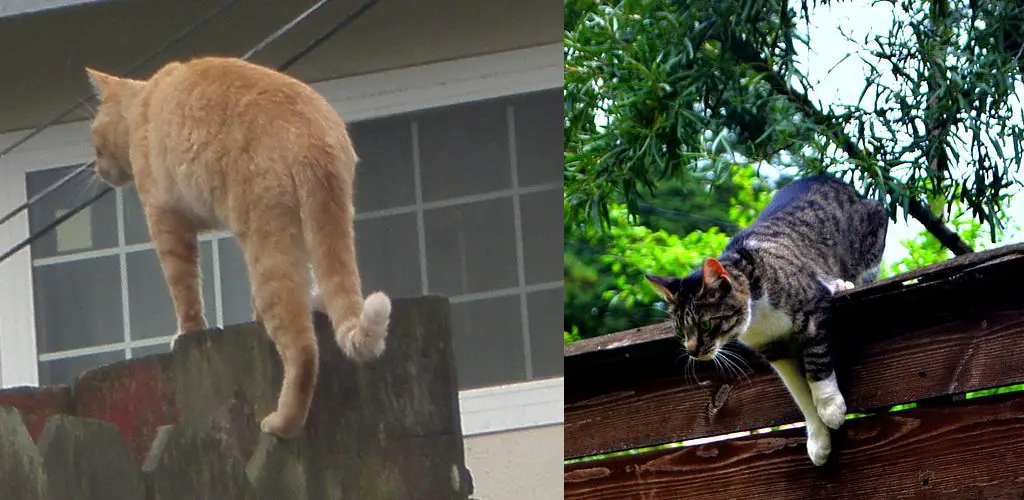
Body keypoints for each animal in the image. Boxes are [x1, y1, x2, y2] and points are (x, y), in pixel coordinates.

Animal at [84, 57, 391, 438]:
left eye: (94, 135)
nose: (96, 166)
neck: (144, 101)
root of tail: (313, 134)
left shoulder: (166, 220)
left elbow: (184, 290)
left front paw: (186, 332)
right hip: (320, 222)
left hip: (267, 242)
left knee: (303, 348)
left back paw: (282, 423)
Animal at [647, 175, 888, 465]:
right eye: (680, 331)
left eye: (704, 324)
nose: (692, 351)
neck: (759, 320)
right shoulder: (773, 348)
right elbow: (798, 391)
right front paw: (818, 439)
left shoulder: (812, 307)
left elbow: (816, 363)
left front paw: (830, 408)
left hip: (872, 228)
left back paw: (843, 283)